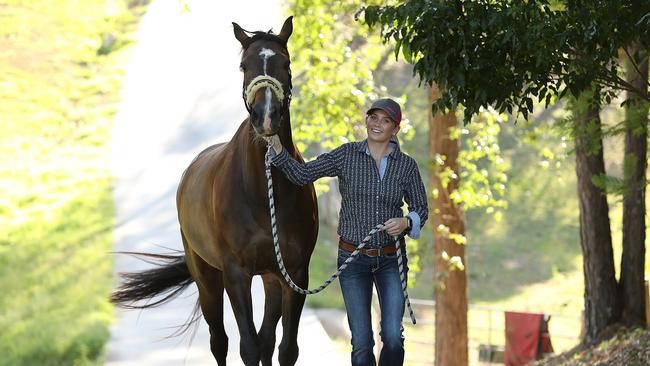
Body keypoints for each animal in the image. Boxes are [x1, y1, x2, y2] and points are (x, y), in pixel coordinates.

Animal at [111, 17, 318, 366]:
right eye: (243, 65)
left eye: (286, 63)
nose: (266, 117)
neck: (264, 192)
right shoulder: (236, 275)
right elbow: (247, 347)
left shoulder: (295, 273)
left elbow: (285, 348)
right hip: (207, 277)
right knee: (219, 340)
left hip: (271, 278)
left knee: (265, 338)